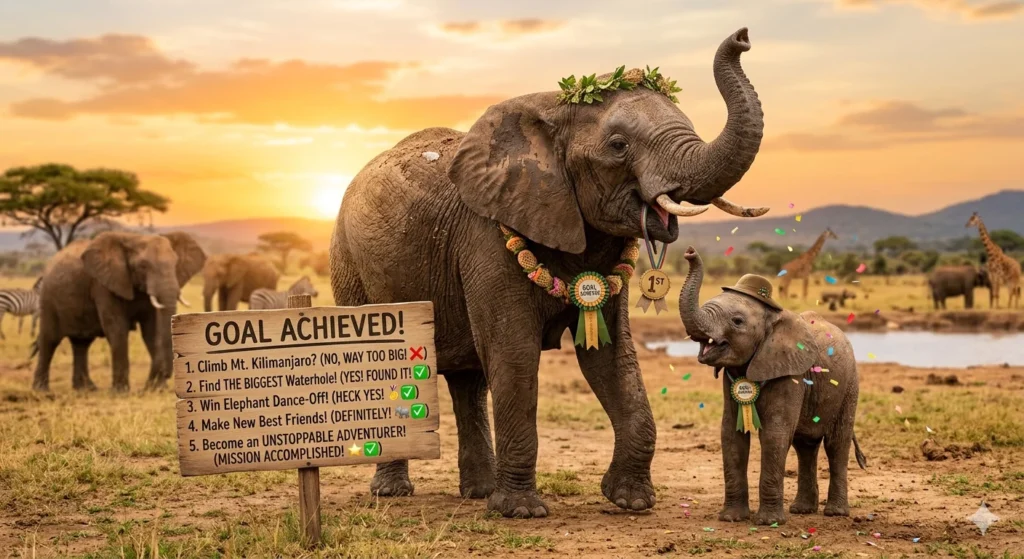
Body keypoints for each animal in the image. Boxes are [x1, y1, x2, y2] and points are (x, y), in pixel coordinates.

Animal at [32, 231, 206, 392]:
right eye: (143, 266)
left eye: (175, 264)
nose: (163, 376)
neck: (134, 238)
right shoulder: (103, 284)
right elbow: (117, 328)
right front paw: (121, 391)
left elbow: (151, 332)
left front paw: (154, 389)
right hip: (47, 298)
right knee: (49, 340)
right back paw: (41, 390)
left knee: (81, 343)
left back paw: (86, 389)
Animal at [330, 28, 769, 518]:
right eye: (618, 146)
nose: (743, 37)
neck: (553, 110)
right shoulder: (485, 234)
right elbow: (515, 351)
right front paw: (520, 512)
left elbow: (611, 356)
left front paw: (631, 501)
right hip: (348, 263)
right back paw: (393, 493)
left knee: (469, 378)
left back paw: (478, 491)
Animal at [678, 247, 866, 525]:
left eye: (737, 321)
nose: (689, 252)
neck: (772, 319)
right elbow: (731, 435)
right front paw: (731, 518)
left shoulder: (790, 372)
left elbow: (774, 435)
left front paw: (768, 522)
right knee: (805, 446)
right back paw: (802, 510)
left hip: (850, 384)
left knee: (836, 444)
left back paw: (835, 513)